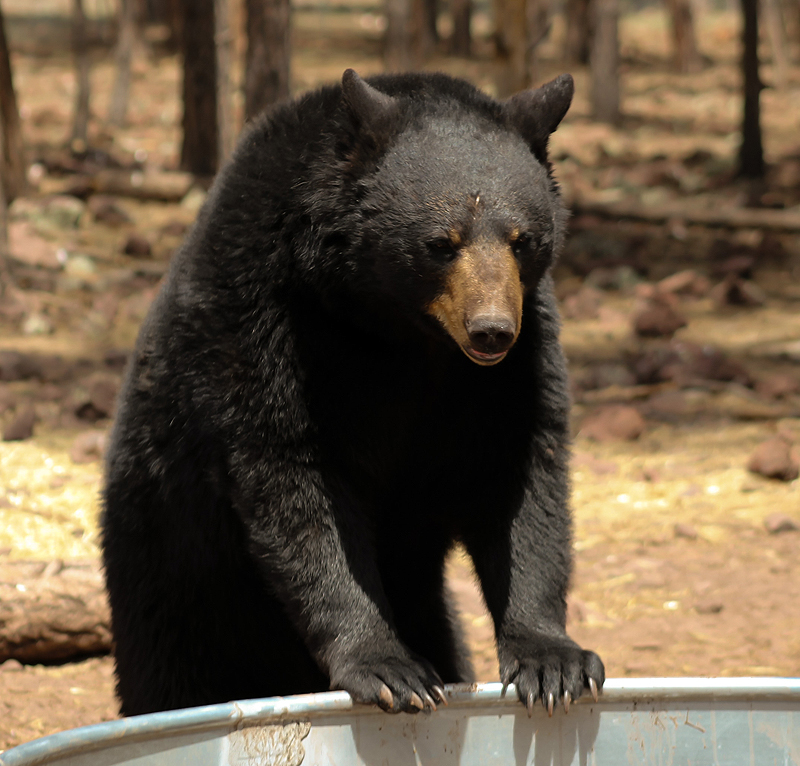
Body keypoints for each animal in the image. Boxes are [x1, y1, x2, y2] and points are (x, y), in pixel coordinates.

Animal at [101, 69, 605, 718]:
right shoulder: (268, 323)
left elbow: (516, 478)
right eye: (442, 242)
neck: (395, 330)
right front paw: (390, 669)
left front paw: (554, 662)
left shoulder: (512, 366)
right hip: (173, 561)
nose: (491, 330)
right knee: (171, 665)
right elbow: (294, 484)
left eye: (522, 239)